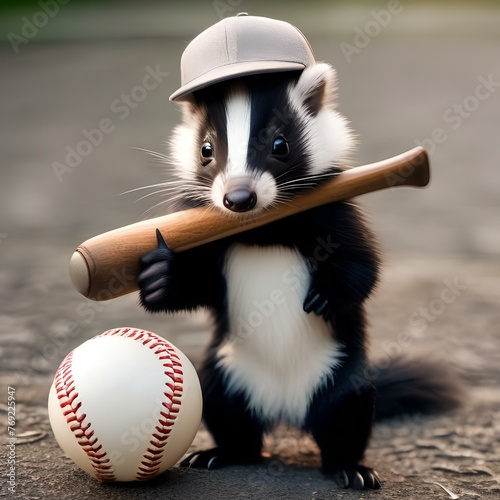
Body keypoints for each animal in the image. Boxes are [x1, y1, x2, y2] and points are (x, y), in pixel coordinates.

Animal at [136, 62, 458, 488]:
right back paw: (220, 453)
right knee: (225, 410)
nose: (239, 198)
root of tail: (285, 409)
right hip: (226, 370)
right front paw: (160, 276)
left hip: (342, 372)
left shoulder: (337, 209)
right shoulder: (197, 222)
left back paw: (349, 469)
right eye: (206, 150)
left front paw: (325, 295)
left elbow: (362, 265)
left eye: (280, 144)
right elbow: (199, 286)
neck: (264, 231)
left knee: (347, 414)